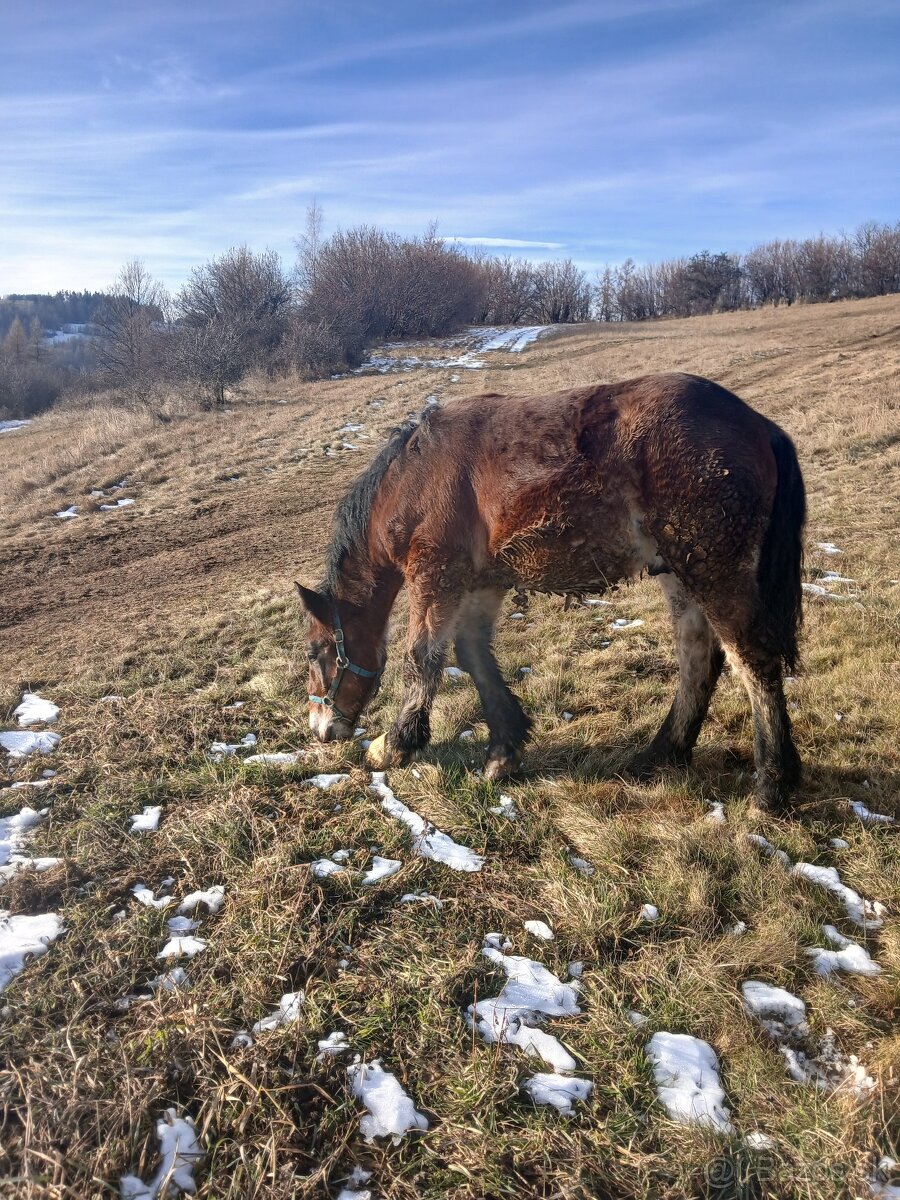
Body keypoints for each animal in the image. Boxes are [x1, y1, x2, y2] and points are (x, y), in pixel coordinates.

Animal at [300, 369, 806, 811]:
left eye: (314, 653)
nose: (321, 729)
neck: (414, 477)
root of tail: (757, 423)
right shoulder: (481, 582)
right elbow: (474, 658)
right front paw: (503, 751)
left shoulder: (434, 575)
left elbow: (421, 659)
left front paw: (394, 746)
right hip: (677, 570)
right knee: (698, 657)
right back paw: (661, 754)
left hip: (713, 569)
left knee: (752, 660)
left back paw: (771, 787)